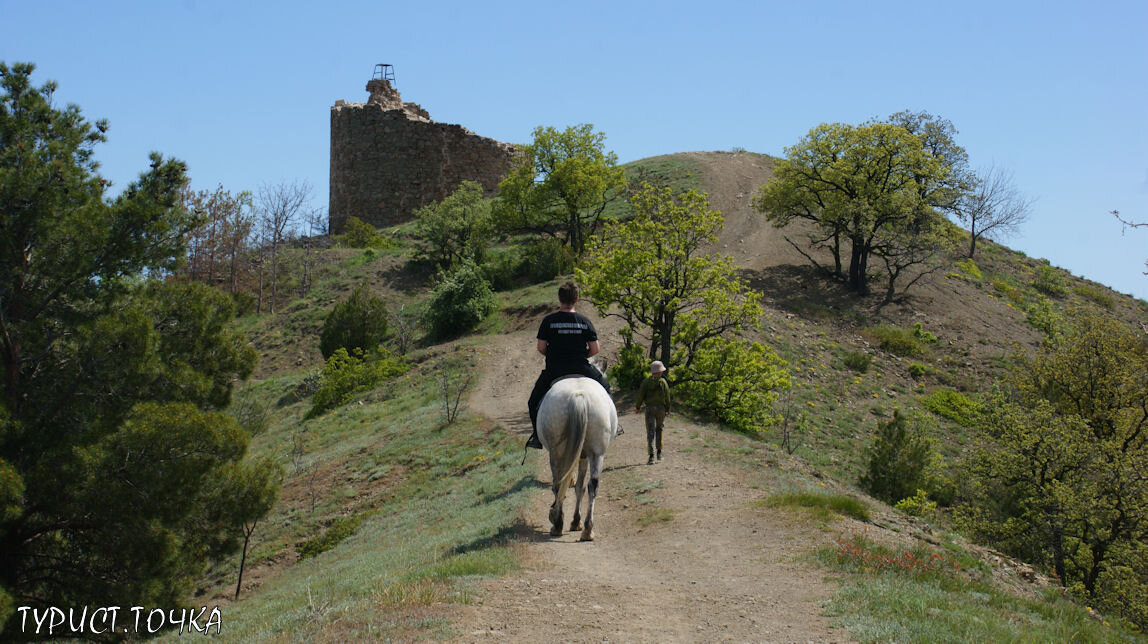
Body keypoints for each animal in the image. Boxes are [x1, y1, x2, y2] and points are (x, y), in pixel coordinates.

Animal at [537, 369, 619, 539]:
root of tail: (579, 396)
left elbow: (573, 485)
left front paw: (566, 519)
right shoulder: (584, 456)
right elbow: (580, 487)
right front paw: (576, 521)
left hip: (556, 453)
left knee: (558, 483)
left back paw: (557, 524)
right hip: (596, 453)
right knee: (593, 486)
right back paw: (587, 530)